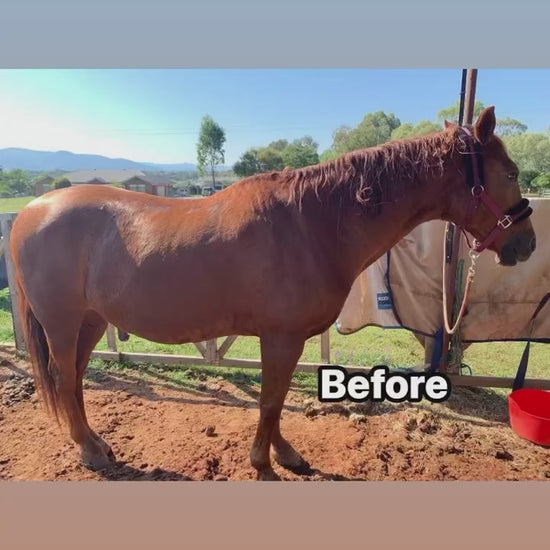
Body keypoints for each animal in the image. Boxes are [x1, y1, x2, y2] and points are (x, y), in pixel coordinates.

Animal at [9, 106, 540, 478]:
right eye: (510, 173)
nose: (528, 244)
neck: (311, 223)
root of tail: (31, 212)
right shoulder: (280, 338)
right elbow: (269, 400)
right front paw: (263, 462)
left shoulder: (291, 339)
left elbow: (279, 398)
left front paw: (285, 455)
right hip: (63, 323)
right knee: (65, 379)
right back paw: (90, 451)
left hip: (91, 322)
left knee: (75, 380)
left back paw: (96, 444)